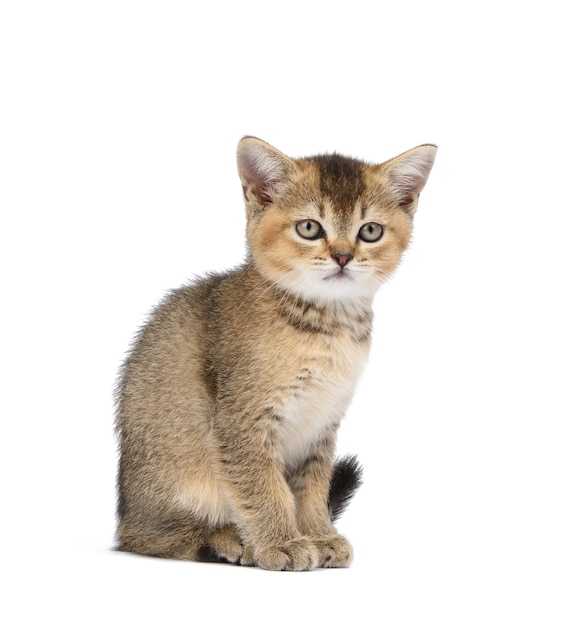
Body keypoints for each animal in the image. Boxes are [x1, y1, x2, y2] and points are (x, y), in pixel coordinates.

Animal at [114, 134, 434, 568]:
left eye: (370, 231)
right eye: (309, 228)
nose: (343, 256)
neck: (326, 327)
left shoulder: (321, 423)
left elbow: (313, 487)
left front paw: (319, 535)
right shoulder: (242, 421)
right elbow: (265, 487)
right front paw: (281, 543)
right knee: (149, 538)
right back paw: (227, 539)